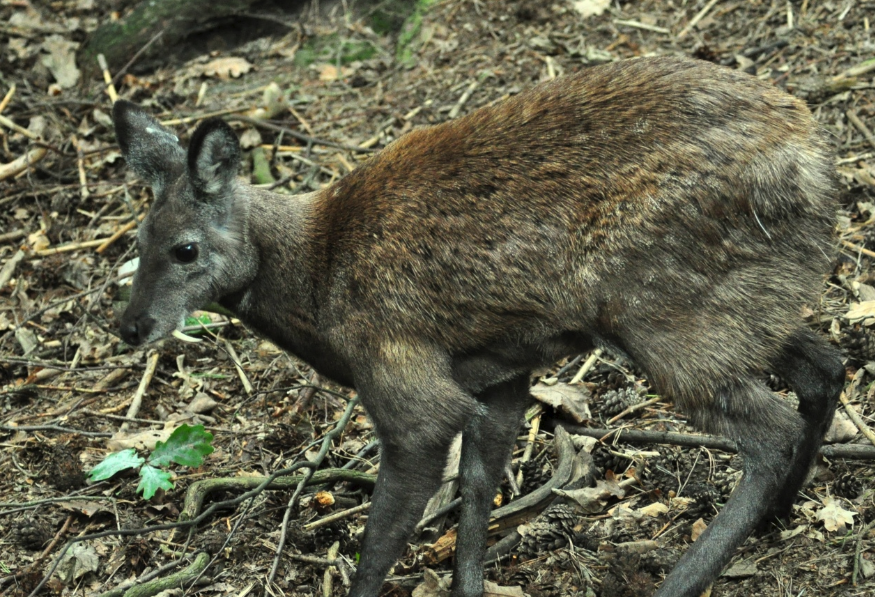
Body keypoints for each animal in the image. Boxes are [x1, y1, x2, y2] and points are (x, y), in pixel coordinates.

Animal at [113, 57, 844, 596]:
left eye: (184, 249)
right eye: (138, 240)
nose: (129, 326)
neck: (316, 286)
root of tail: (816, 161)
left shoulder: (407, 385)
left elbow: (380, 540)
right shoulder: (499, 371)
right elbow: (476, 489)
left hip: (660, 314)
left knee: (771, 431)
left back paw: (683, 578)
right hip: (738, 305)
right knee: (824, 363)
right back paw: (780, 514)